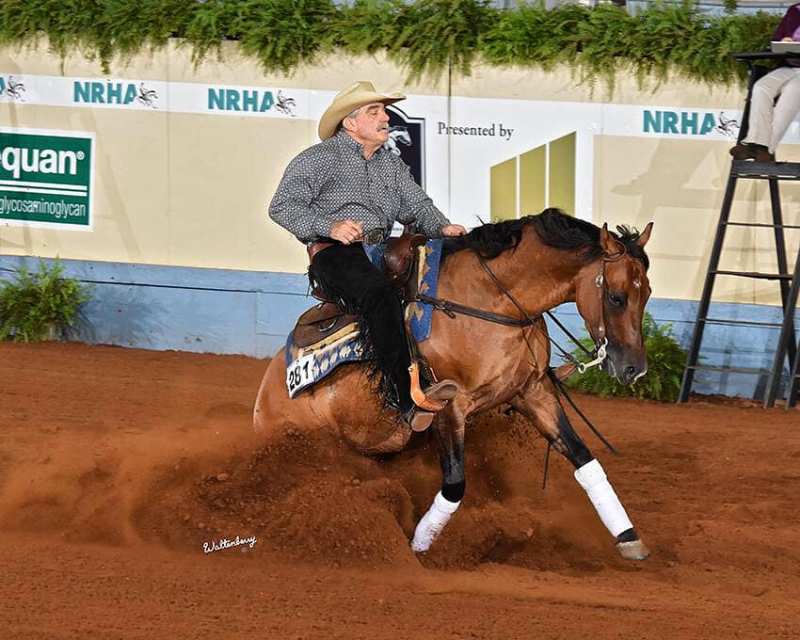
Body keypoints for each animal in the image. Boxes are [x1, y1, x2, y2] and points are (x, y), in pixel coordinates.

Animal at [253, 209, 652, 560]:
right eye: (616, 297)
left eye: (646, 293)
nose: (634, 369)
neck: (491, 303)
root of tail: (267, 391)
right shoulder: (451, 409)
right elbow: (455, 486)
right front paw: (420, 547)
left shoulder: (533, 393)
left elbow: (585, 460)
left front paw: (629, 537)